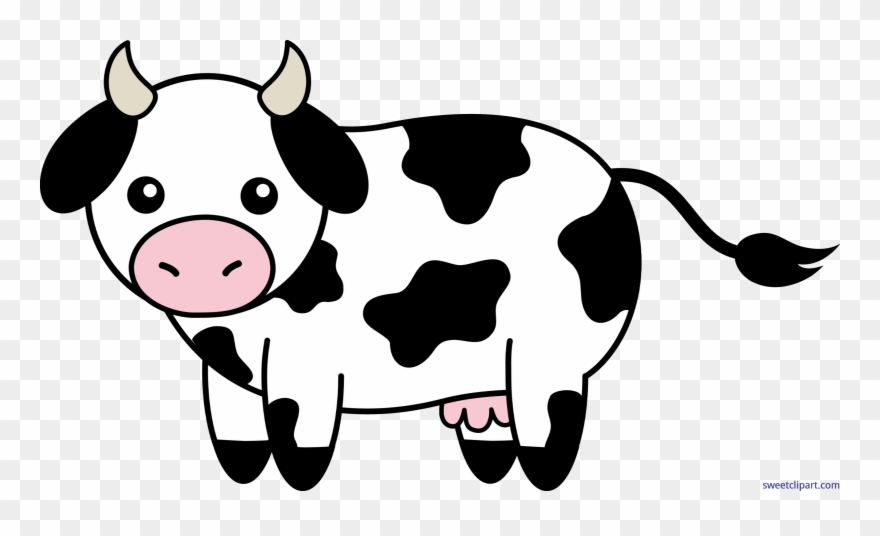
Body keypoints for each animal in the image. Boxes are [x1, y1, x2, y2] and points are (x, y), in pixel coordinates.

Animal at [40, 41, 836, 491]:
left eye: (261, 191)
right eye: (145, 191)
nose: (199, 248)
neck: (236, 330)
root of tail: (614, 175)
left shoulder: (309, 364)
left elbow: (299, 430)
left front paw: (300, 482)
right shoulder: (227, 373)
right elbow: (234, 432)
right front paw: (242, 476)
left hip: (551, 352)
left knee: (554, 420)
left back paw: (539, 477)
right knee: (495, 422)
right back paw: (482, 446)